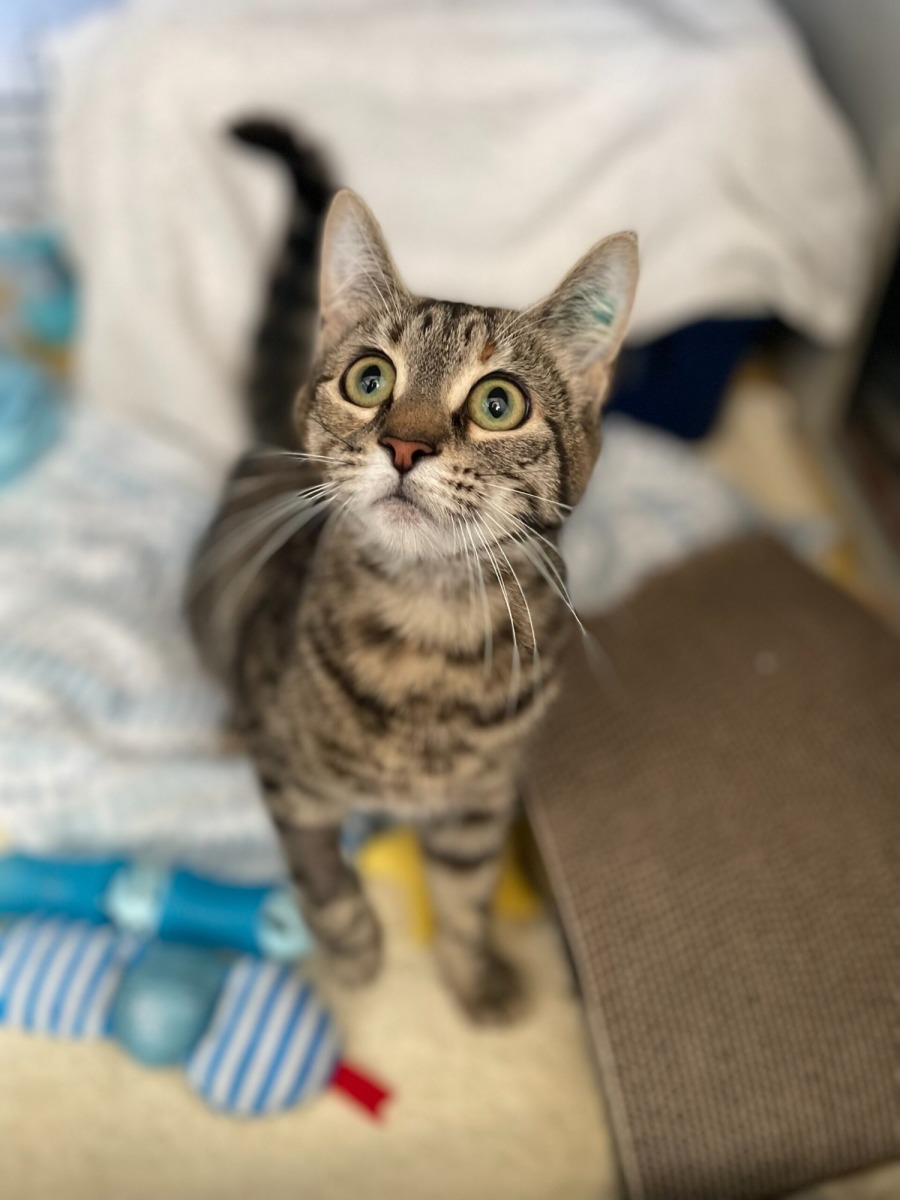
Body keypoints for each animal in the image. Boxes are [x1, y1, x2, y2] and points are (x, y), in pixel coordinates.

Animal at [188, 166, 638, 1023]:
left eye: (499, 403)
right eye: (370, 380)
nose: (403, 445)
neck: (428, 627)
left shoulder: (481, 800)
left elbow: (465, 895)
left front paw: (474, 978)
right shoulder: (293, 784)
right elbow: (326, 885)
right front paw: (357, 958)